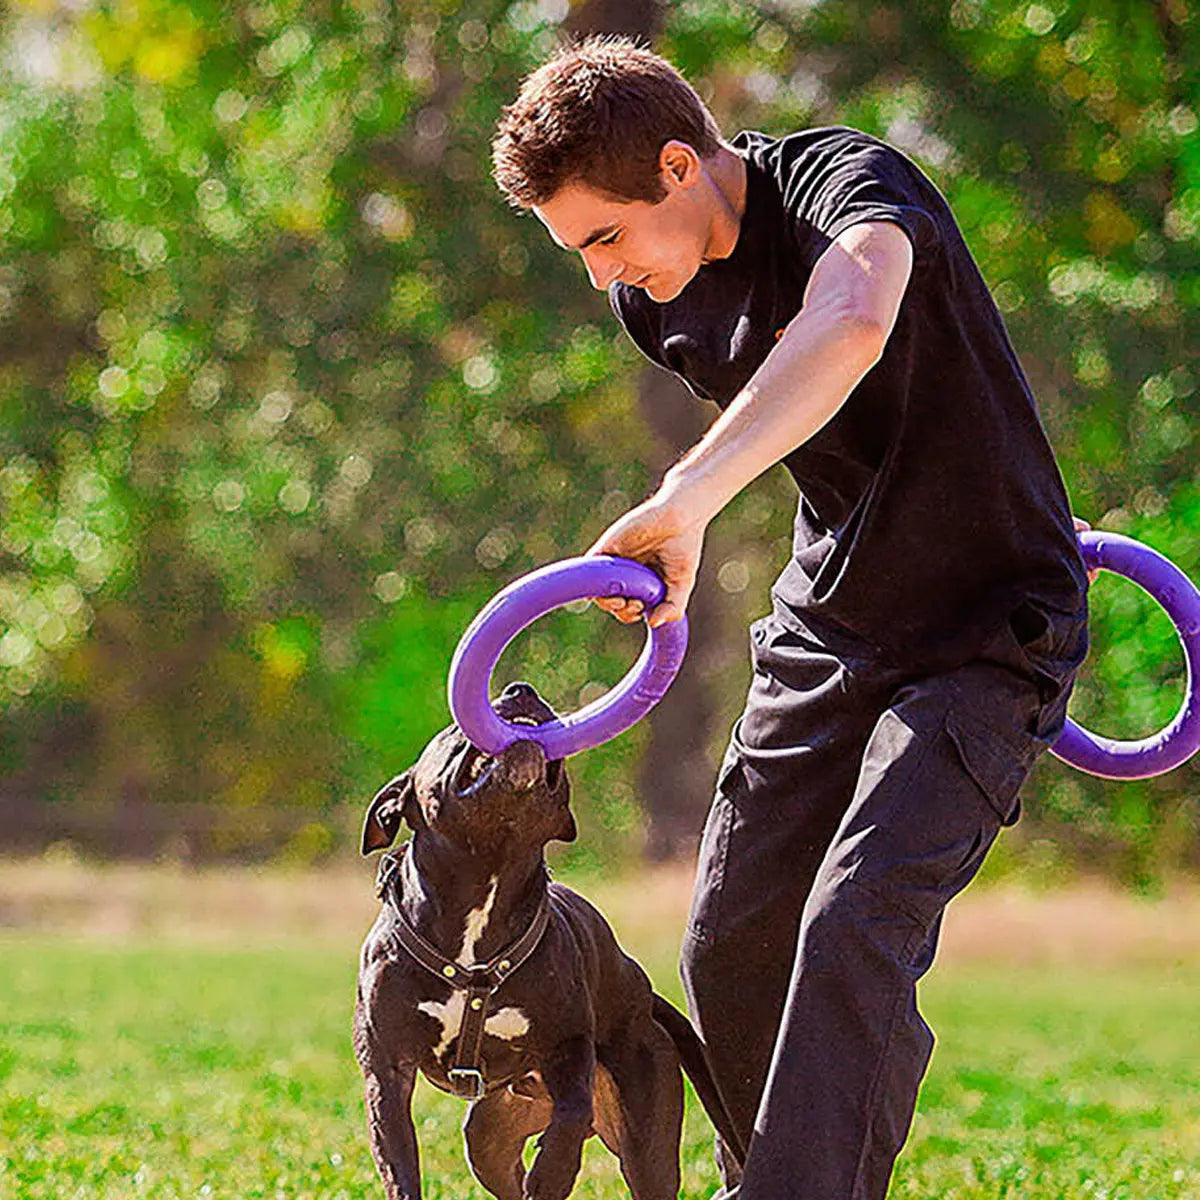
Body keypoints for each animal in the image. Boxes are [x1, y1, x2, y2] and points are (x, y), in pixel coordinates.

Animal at [350, 686, 739, 1200]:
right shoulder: (387, 1072)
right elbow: (398, 1165)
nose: (521, 689)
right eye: (452, 730)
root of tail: (643, 994)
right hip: (488, 1139)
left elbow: (571, 1116)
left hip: (645, 1135)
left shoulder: (569, 1048)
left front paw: (553, 1172)